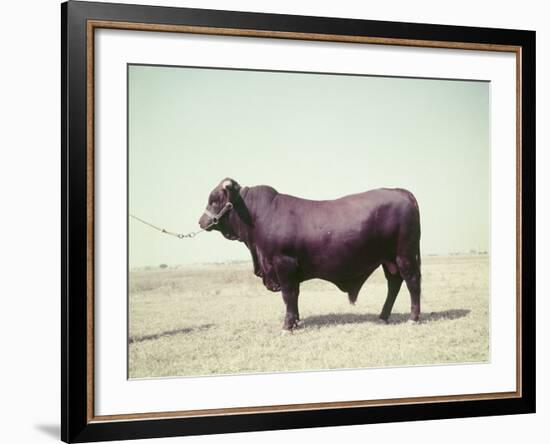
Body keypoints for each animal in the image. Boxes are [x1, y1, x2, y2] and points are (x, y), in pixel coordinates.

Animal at [198, 179, 422, 332]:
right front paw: (296, 321)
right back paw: (383, 316)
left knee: (412, 282)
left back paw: (413, 318)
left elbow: (288, 294)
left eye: (215, 200)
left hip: (405, 254)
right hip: (389, 259)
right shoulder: (290, 269)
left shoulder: (283, 263)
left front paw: (287, 326)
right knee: (394, 283)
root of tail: (401, 192)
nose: (201, 221)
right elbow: (295, 295)